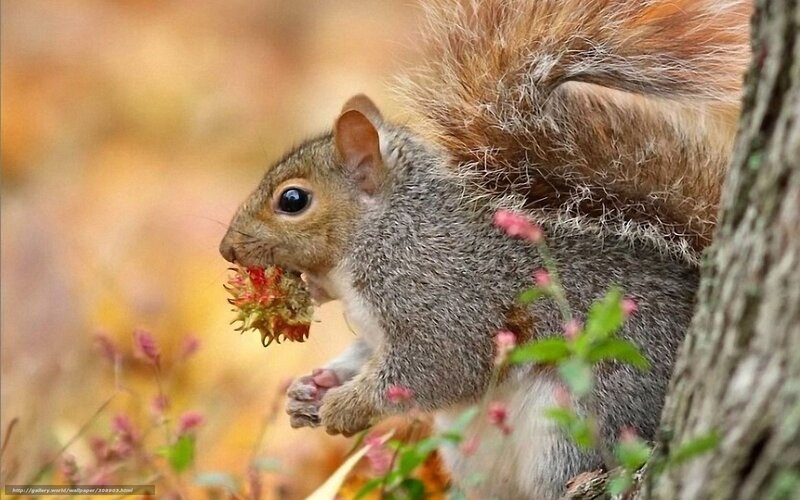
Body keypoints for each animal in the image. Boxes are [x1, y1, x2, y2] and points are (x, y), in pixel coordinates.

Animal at [219, 0, 751, 497]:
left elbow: (437, 366)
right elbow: (364, 353)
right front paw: (313, 388)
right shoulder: (378, 325)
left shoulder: (441, 294)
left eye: (292, 200)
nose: (227, 249)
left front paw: (346, 406)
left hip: (578, 418)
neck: (386, 231)